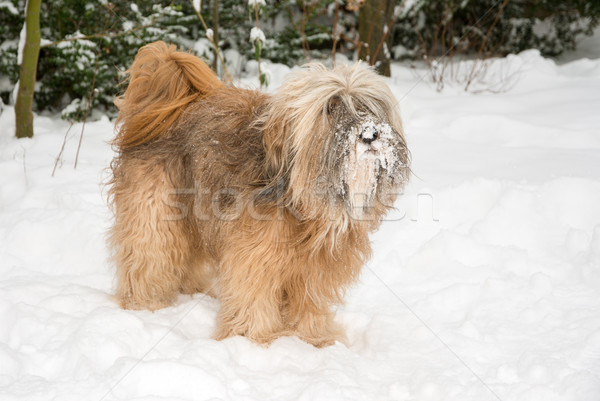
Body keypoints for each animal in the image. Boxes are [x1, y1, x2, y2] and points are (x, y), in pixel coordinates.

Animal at [108, 41, 410, 346]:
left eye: (369, 105)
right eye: (330, 107)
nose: (370, 134)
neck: (302, 205)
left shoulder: (315, 268)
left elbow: (309, 304)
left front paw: (314, 339)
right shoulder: (253, 258)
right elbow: (252, 300)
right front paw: (253, 341)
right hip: (156, 213)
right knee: (149, 257)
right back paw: (146, 304)